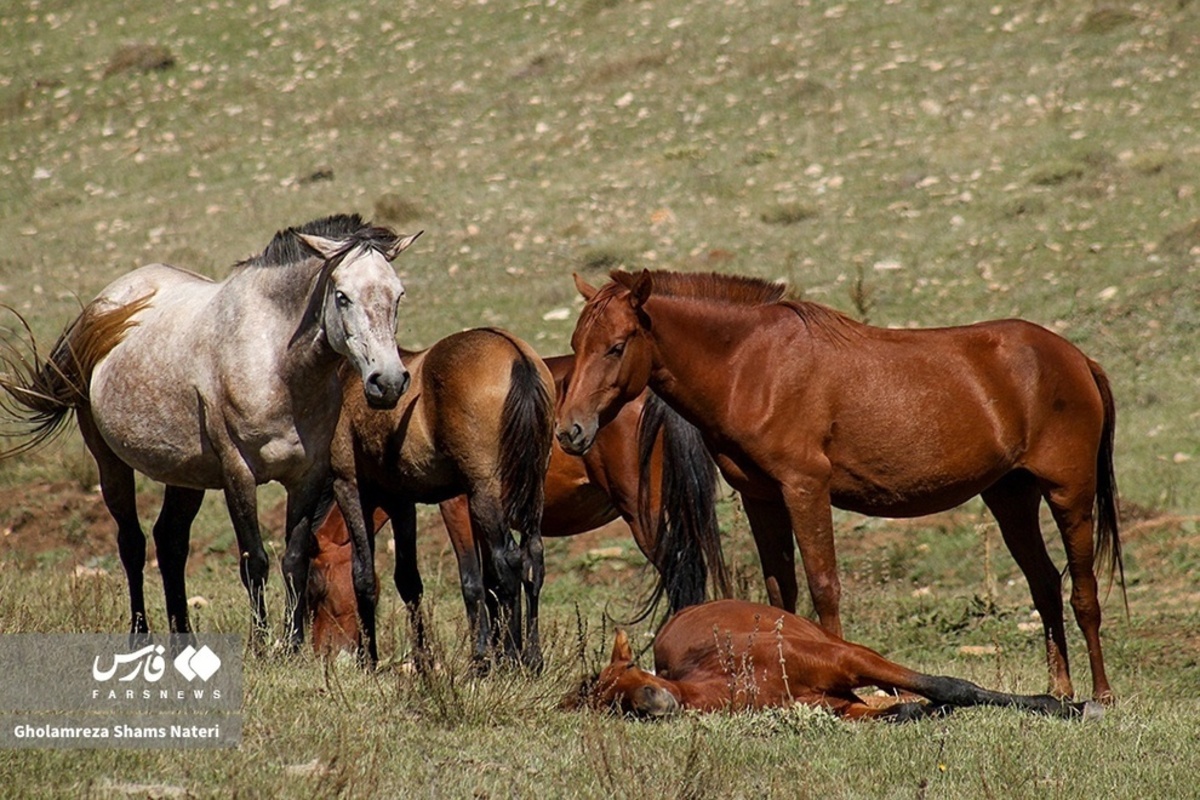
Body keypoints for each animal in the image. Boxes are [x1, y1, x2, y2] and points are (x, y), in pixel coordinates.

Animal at [0, 215, 420, 647]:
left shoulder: (307, 477)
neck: (277, 364)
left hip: (185, 476)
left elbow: (294, 559)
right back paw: (140, 637)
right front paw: (260, 645)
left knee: (170, 542)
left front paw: (292, 645)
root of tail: (103, 307)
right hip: (110, 462)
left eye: (398, 295)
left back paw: (183, 641)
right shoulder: (238, 474)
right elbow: (255, 562)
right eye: (342, 296)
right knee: (132, 543)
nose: (388, 382)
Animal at [561, 272, 1123, 705]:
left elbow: (823, 586)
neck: (751, 366)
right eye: (575, 347)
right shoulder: (762, 497)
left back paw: (1101, 695)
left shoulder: (805, 488)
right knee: (1045, 584)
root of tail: (1076, 358)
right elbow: (780, 592)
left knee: (1083, 592)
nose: (570, 431)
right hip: (1011, 497)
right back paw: (1061, 690)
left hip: (1069, 495)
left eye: (616, 347)